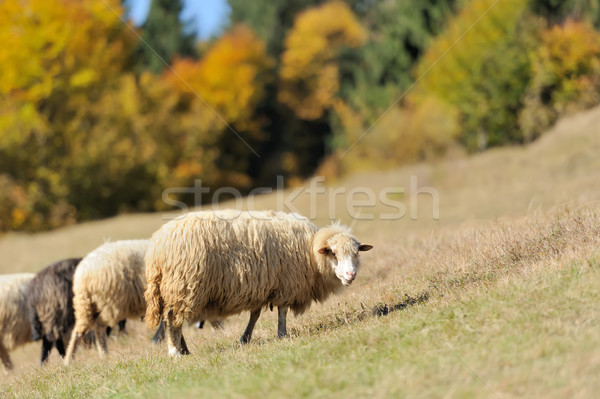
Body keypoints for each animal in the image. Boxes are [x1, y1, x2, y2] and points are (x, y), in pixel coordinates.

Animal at [144, 211, 370, 358]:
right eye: (333, 253)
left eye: (356, 253)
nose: (351, 275)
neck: (310, 251)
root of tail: (157, 246)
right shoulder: (286, 284)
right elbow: (282, 312)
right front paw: (282, 334)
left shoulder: (263, 287)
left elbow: (255, 314)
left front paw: (245, 338)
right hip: (184, 284)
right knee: (173, 319)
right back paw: (175, 352)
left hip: (176, 289)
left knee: (173, 319)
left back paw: (185, 350)